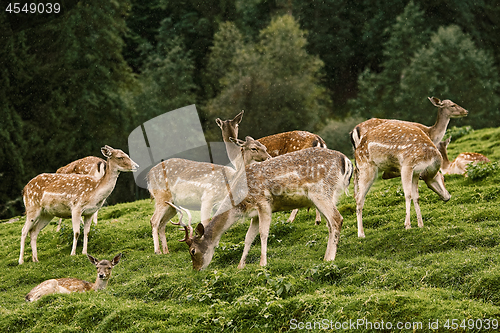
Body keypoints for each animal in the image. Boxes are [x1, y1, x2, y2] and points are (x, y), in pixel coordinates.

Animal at [174, 147, 354, 270]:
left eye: (192, 251)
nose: (196, 269)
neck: (240, 202)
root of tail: (346, 160)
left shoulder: (264, 203)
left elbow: (263, 233)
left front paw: (262, 263)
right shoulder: (254, 214)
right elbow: (248, 237)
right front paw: (240, 265)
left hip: (321, 192)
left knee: (337, 219)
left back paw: (330, 258)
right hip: (329, 195)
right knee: (330, 223)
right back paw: (325, 256)